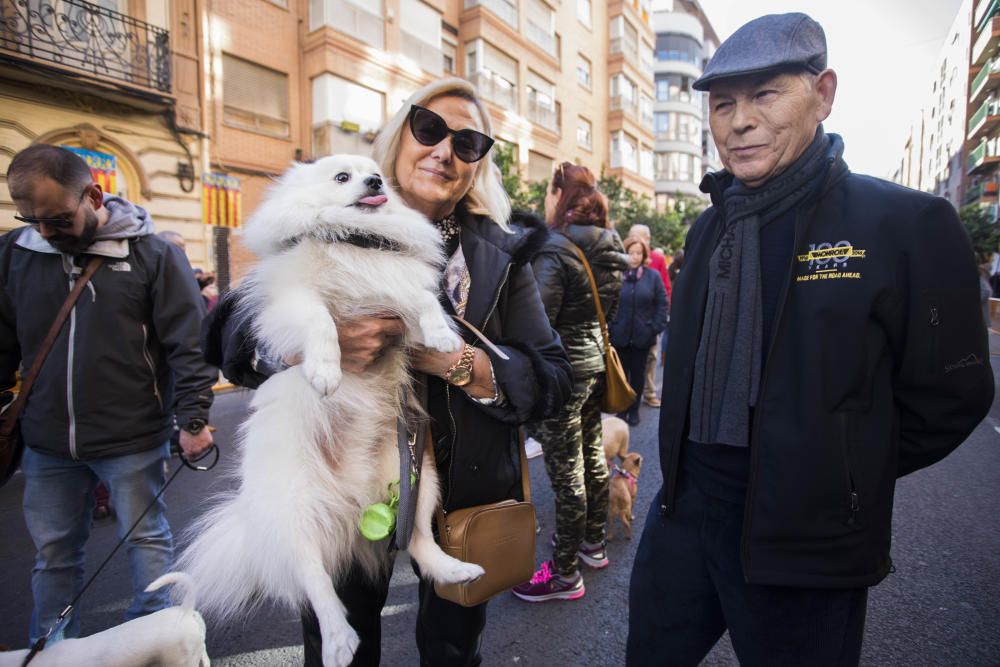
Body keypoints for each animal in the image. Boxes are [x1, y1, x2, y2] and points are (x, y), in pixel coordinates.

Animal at [181, 155, 492, 667]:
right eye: (342, 177)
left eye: (375, 173)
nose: (376, 181)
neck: (354, 238)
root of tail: (353, 499)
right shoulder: (293, 304)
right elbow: (321, 321)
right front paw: (325, 372)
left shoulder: (395, 292)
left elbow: (423, 301)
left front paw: (443, 337)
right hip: (297, 511)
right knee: (316, 580)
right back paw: (339, 639)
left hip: (420, 478)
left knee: (419, 540)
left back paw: (454, 570)